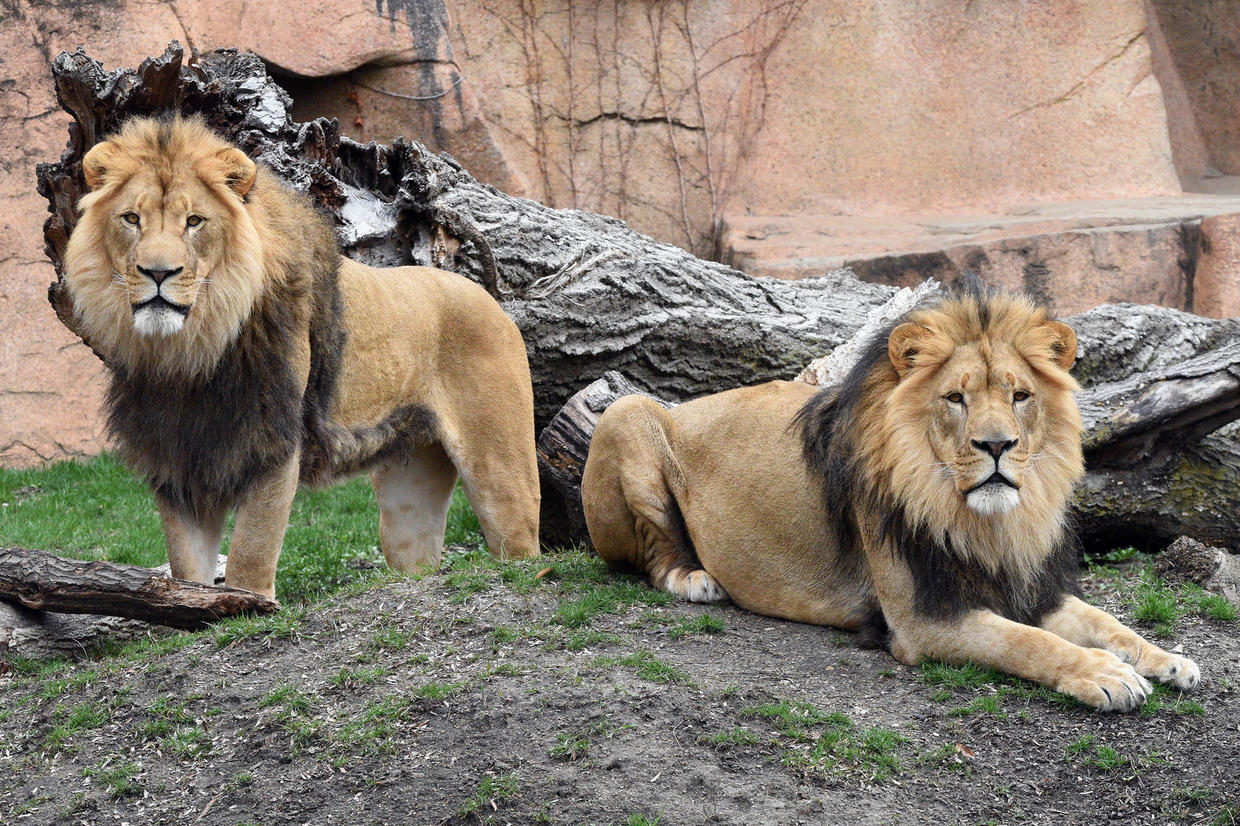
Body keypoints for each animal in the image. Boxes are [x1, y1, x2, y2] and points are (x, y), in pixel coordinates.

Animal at [61, 112, 538, 595]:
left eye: (194, 221)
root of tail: (488, 298)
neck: (189, 353)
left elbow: (251, 553)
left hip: (500, 472)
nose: (158, 272)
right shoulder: (178, 458)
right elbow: (186, 567)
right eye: (131, 219)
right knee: (416, 557)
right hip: (408, 491)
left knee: (521, 548)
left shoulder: (274, 443)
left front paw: (247, 604)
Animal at [580, 282, 1200, 709]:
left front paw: (1168, 660)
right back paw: (695, 579)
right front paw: (1105, 675)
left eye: (1020, 395)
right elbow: (1027, 644)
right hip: (627, 412)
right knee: (651, 555)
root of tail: (684, 405)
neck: (985, 521)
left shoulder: (1032, 588)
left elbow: (1107, 622)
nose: (997, 445)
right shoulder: (923, 620)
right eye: (955, 398)